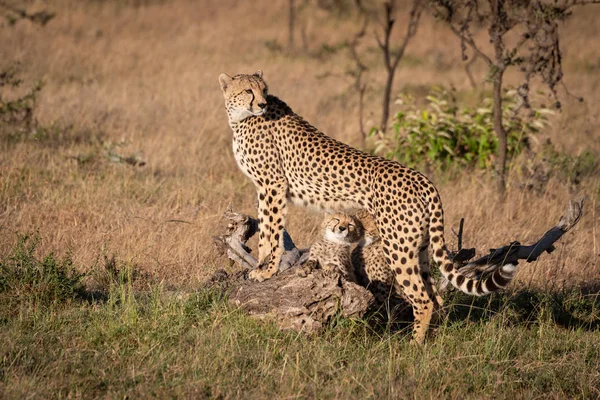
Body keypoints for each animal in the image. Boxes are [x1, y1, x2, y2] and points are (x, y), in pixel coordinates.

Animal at [218, 70, 516, 342]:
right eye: (248, 90)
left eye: (264, 90)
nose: (261, 104)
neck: (239, 118)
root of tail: (423, 178)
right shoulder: (267, 187)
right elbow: (266, 228)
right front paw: (261, 267)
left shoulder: (273, 185)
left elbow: (271, 230)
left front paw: (265, 270)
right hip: (418, 246)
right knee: (435, 296)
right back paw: (433, 339)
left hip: (398, 246)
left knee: (422, 298)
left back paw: (414, 345)